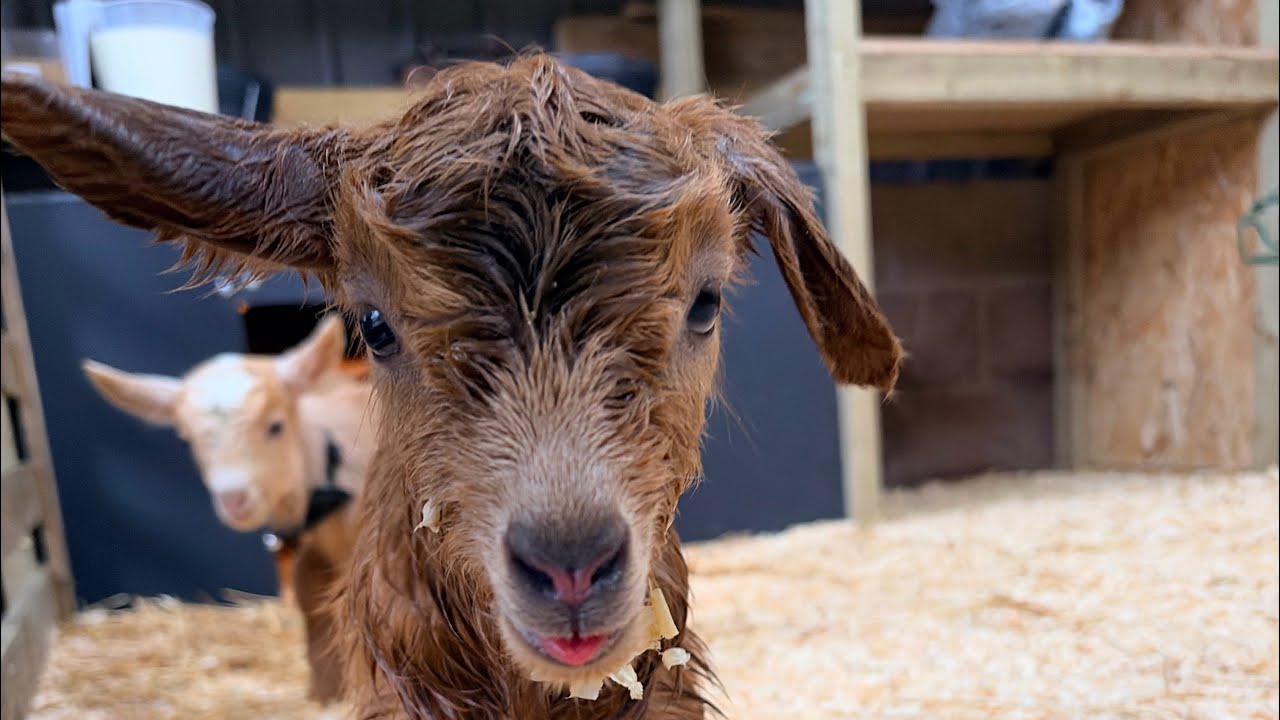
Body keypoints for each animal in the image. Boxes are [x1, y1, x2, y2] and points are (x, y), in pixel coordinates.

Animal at [80, 314, 373, 703]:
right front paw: (325, 694)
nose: (234, 499)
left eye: (275, 426)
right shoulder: (320, 548)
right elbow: (311, 594)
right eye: (186, 438)